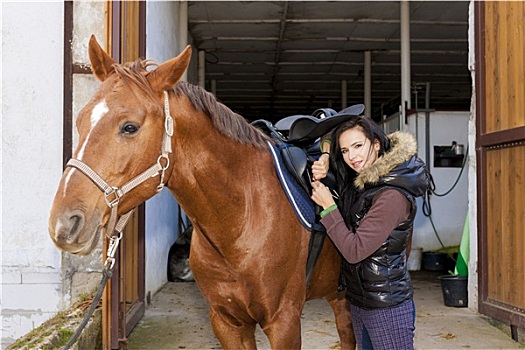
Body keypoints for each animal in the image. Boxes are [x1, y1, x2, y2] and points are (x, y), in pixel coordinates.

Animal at [48, 36, 356, 350]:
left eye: (129, 127)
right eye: (80, 121)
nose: (65, 223)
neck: (241, 220)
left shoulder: (284, 322)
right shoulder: (227, 322)